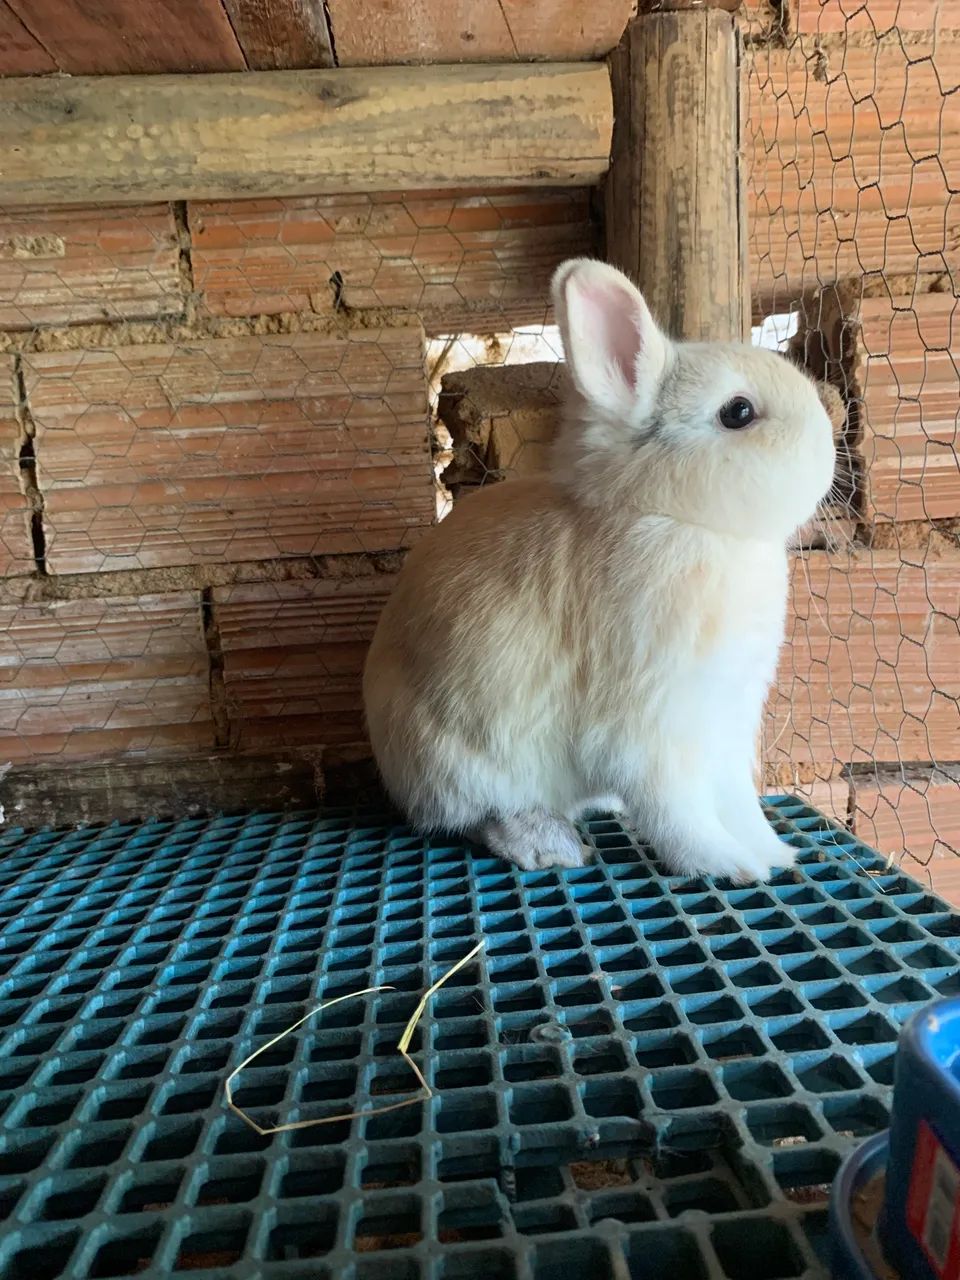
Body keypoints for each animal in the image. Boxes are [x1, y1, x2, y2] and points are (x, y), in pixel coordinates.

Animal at [363, 258, 836, 882]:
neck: (674, 519)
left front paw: (772, 853)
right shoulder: (649, 725)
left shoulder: (727, 722)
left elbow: (738, 799)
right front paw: (726, 864)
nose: (830, 445)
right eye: (738, 412)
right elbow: (677, 809)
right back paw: (547, 844)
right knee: (478, 816)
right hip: (460, 760)